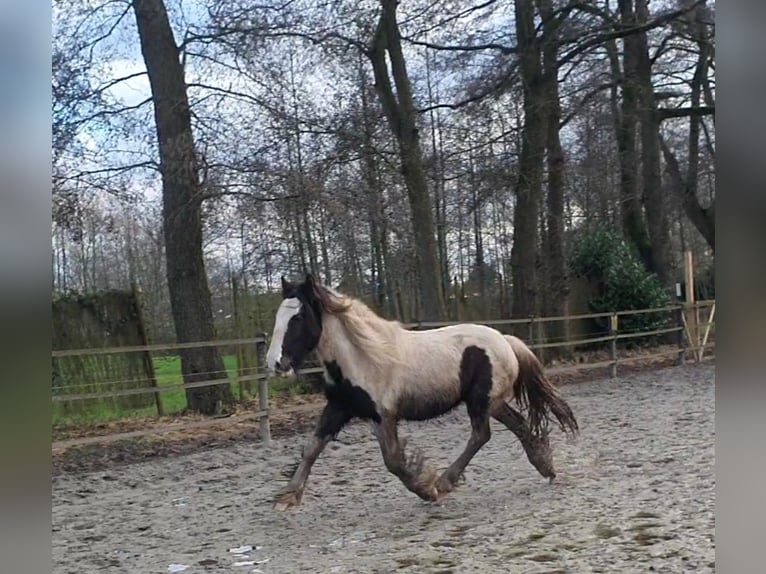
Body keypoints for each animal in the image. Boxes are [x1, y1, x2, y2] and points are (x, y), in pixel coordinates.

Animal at [268, 274, 580, 512]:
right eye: (278, 315)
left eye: (299, 316)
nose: (275, 363)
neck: (363, 357)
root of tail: (505, 340)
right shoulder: (339, 407)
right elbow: (311, 448)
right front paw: (287, 496)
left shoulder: (383, 416)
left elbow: (393, 462)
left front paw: (426, 489)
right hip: (493, 402)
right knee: (519, 425)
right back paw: (545, 466)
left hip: (481, 401)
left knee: (481, 435)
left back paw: (445, 482)